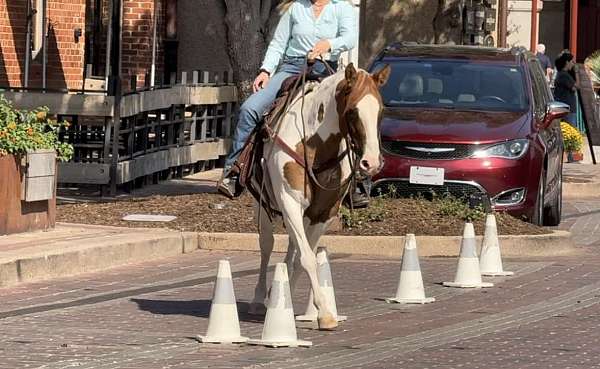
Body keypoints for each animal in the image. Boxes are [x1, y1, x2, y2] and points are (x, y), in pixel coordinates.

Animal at [247, 61, 392, 330]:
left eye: (381, 111)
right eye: (353, 111)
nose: (372, 162)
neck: (315, 148)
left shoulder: (324, 212)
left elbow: (303, 256)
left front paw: (299, 305)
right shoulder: (290, 201)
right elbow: (306, 257)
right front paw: (324, 313)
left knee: (292, 246)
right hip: (262, 205)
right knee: (266, 245)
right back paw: (258, 298)